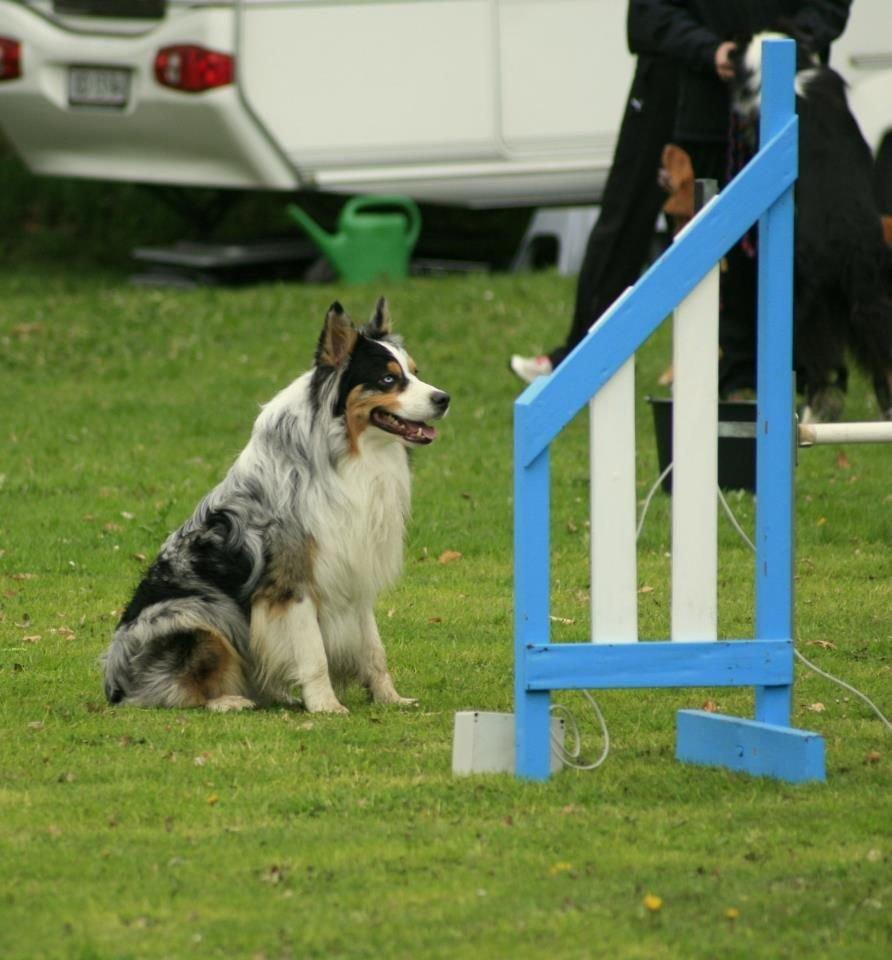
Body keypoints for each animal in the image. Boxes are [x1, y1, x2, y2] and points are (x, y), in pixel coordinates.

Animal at [102, 300, 450, 712]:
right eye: (387, 380)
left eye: (414, 373)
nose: (444, 398)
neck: (348, 454)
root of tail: (113, 683)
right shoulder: (291, 581)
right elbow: (313, 653)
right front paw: (326, 706)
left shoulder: (354, 568)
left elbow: (373, 649)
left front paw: (390, 698)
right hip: (195, 615)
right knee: (172, 690)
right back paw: (228, 701)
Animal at [732, 32, 892, 420]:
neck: (798, 71)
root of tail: (848, 245)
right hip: (870, 299)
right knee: (878, 362)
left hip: (806, 305)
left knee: (825, 368)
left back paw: (810, 411)